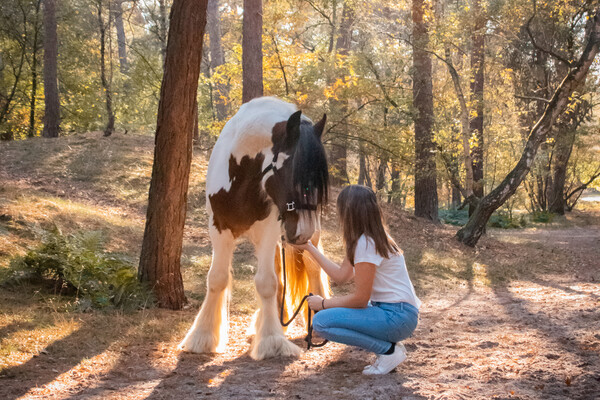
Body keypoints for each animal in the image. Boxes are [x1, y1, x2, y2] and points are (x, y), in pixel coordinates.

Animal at [180, 96, 330, 360]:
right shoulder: (218, 228)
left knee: (312, 267)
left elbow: (267, 283)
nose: (302, 232)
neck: (241, 180)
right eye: (295, 175)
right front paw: (203, 337)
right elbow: (217, 278)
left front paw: (272, 342)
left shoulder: (269, 230)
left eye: (318, 182)